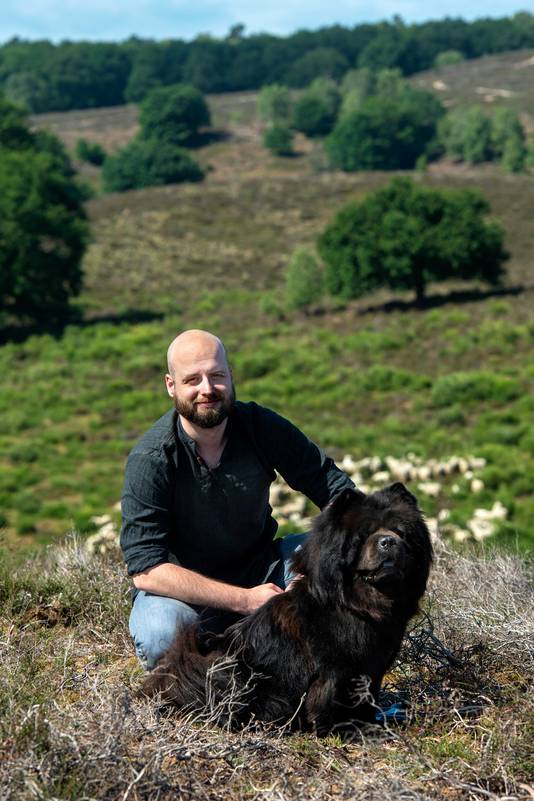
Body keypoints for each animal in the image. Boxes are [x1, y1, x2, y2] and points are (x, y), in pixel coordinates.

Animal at [140, 483, 432, 734]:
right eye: (364, 535)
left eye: (401, 533)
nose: (388, 541)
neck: (358, 604)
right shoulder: (334, 669)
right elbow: (330, 699)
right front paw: (341, 730)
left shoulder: (374, 665)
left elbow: (367, 697)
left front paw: (370, 724)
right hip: (233, 671)